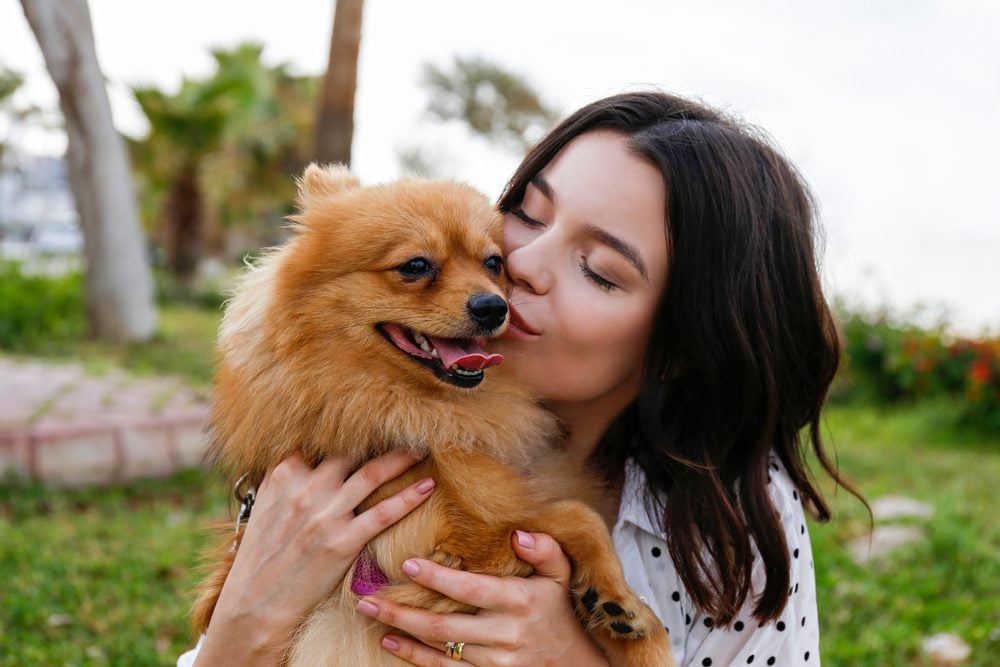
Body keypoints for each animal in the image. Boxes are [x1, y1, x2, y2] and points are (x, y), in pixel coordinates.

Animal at [194, 164, 672, 664]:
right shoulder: (441, 551)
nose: (494, 306)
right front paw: (627, 609)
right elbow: (576, 515)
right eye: (416, 266)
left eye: (493, 263)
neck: (416, 410)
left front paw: (620, 613)